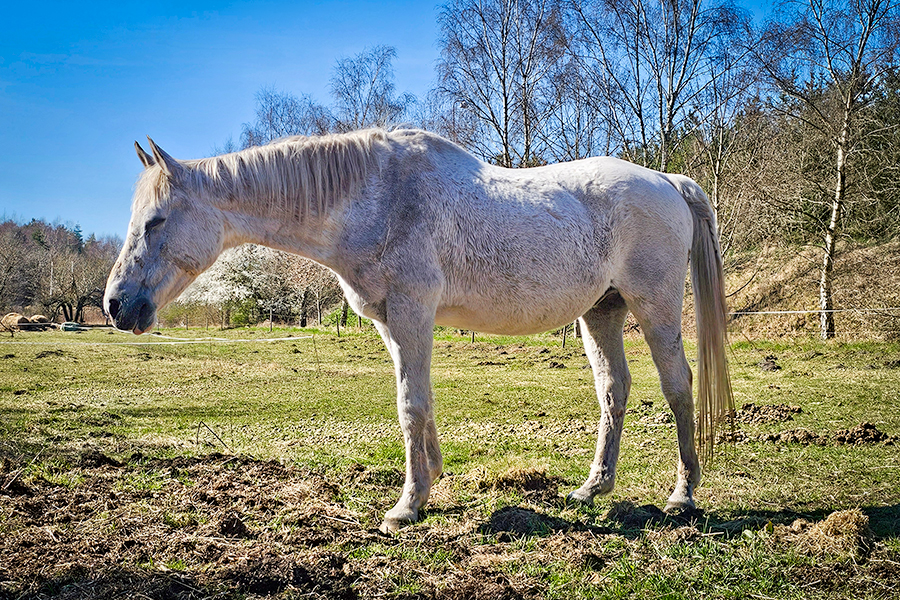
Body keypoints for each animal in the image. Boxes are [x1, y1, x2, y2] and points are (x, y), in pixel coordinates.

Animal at [104, 128, 733, 533]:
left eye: (156, 221)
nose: (116, 305)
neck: (377, 198)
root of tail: (666, 179)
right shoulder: (393, 323)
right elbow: (420, 401)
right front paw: (429, 481)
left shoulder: (411, 314)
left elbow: (410, 405)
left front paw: (407, 505)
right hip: (602, 312)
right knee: (613, 391)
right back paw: (592, 487)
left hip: (653, 306)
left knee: (679, 387)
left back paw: (682, 496)